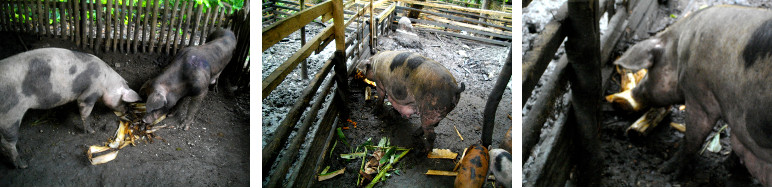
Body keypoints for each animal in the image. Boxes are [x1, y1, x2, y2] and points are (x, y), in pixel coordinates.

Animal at [0, 47, 141, 168]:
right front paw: (91, 131)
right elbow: (84, 113)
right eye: (124, 102)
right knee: (8, 143)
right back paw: (23, 165)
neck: (106, 82)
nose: (127, 110)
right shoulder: (89, 94)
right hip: (11, 114)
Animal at [616, 4, 772, 185]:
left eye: (649, 70)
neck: (678, 51)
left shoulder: (698, 94)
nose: (634, 92)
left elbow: (692, 138)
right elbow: (737, 147)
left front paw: (667, 171)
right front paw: (729, 166)